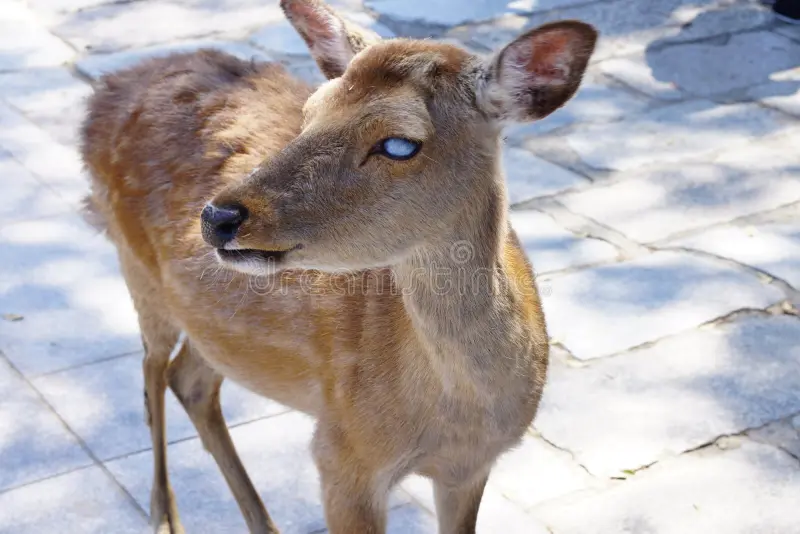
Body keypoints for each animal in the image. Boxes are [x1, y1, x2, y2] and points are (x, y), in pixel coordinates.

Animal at [80, 1, 597, 532]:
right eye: (310, 113)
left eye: (399, 144)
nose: (218, 216)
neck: (461, 416)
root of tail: (109, 86)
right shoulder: (341, 456)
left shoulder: (470, 469)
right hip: (135, 266)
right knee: (153, 366)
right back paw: (163, 514)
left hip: (206, 323)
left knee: (190, 380)